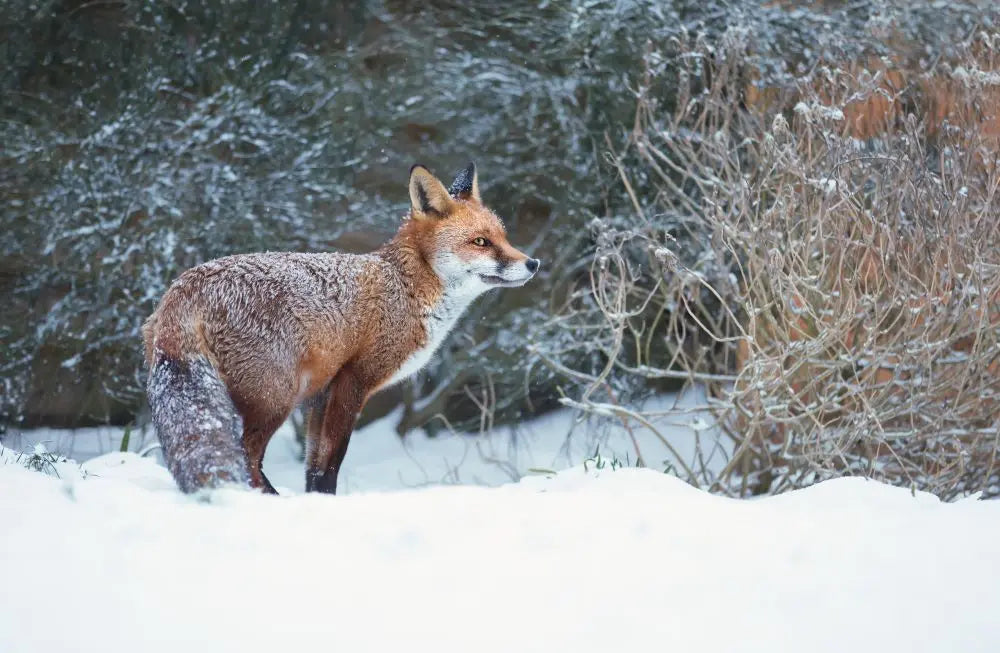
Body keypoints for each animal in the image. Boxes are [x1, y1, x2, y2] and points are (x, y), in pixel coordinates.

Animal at [143, 163, 540, 494]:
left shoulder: (321, 394)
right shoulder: (353, 382)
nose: (533, 263)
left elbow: (313, 469)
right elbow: (330, 465)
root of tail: (183, 287)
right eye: (480, 242)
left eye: (504, 237)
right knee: (247, 459)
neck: (406, 288)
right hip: (273, 400)